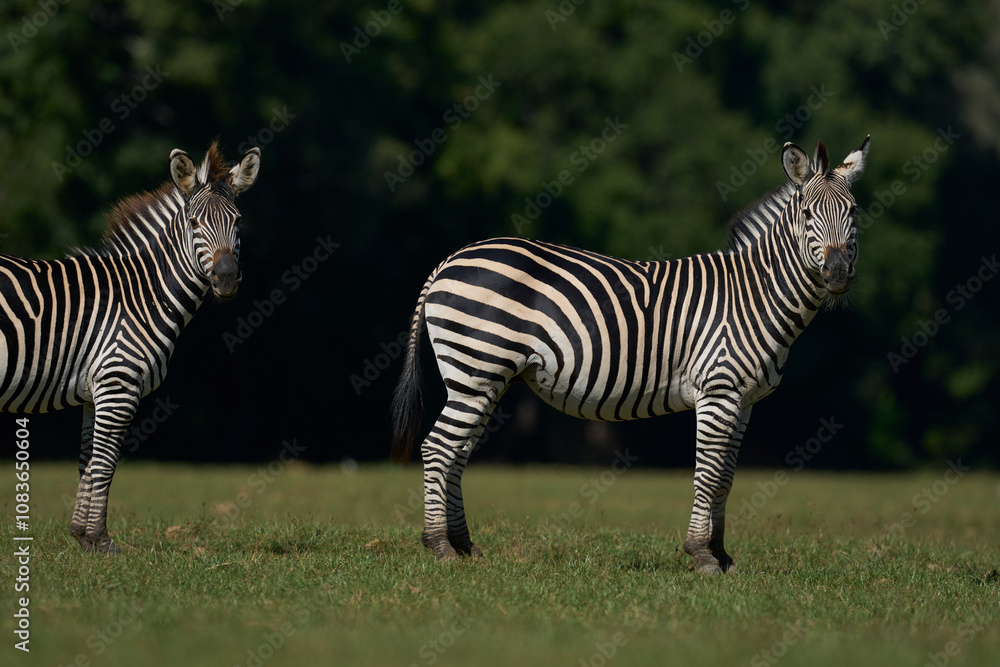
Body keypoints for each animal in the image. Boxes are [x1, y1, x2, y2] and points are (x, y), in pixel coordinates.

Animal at [0, 142, 260, 553]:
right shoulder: (118, 385)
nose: (226, 279)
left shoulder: (94, 392)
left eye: (237, 222)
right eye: (194, 224)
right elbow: (106, 463)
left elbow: (88, 461)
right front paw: (101, 540)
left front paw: (82, 537)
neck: (142, 296)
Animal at [391, 136, 869, 573]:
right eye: (807, 215)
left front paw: (722, 555)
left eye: (853, 213)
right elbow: (708, 474)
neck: (756, 295)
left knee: (457, 452)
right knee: (438, 447)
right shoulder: (718, 393)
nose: (838, 274)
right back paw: (440, 547)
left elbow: (726, 479)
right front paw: (702, 555)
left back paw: (465, 546)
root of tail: (450, 259)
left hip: (483, 378)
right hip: (476, 369)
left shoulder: (744, 401)